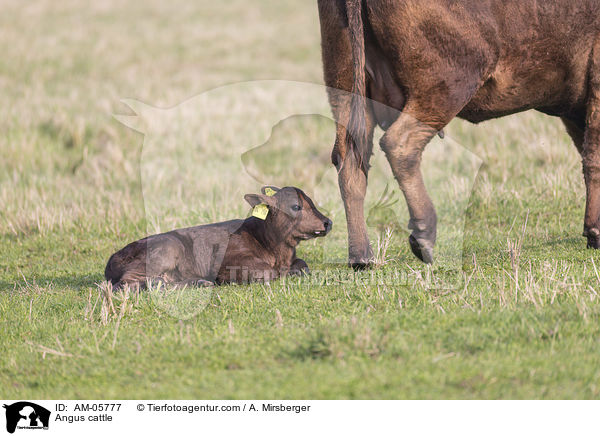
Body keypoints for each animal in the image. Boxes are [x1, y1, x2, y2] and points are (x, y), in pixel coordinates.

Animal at [106, 186, 332, 288]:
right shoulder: (230, 261)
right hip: (165, 250)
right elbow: (268, 273)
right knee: (126, 283)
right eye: (296, 206)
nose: (327, 222)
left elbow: (303, 265)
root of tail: (111, 261)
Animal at [322, 0, 600, 268]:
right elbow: (593, 158)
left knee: (350, 162)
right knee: (399, 144)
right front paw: (595, 233)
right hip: (446, 87)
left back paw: (362, 256)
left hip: (347, 88)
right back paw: (424, 237)